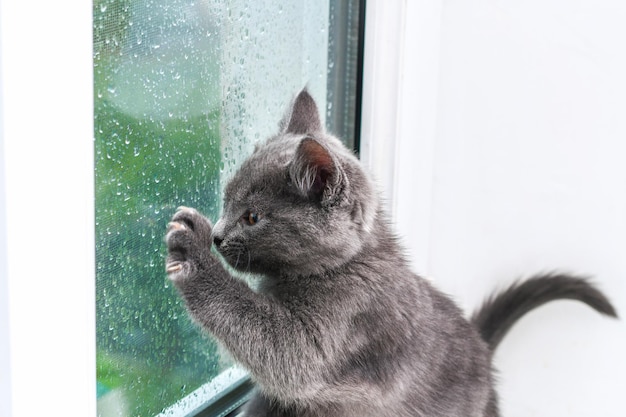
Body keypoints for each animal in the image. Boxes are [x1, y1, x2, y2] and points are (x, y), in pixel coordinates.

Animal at [163, 89, 616, 414]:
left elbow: (279, 351)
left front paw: (191, 251)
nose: (218, 235)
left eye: (253, 217)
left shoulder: (342, 323)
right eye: (226, 201)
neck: (348, 265)